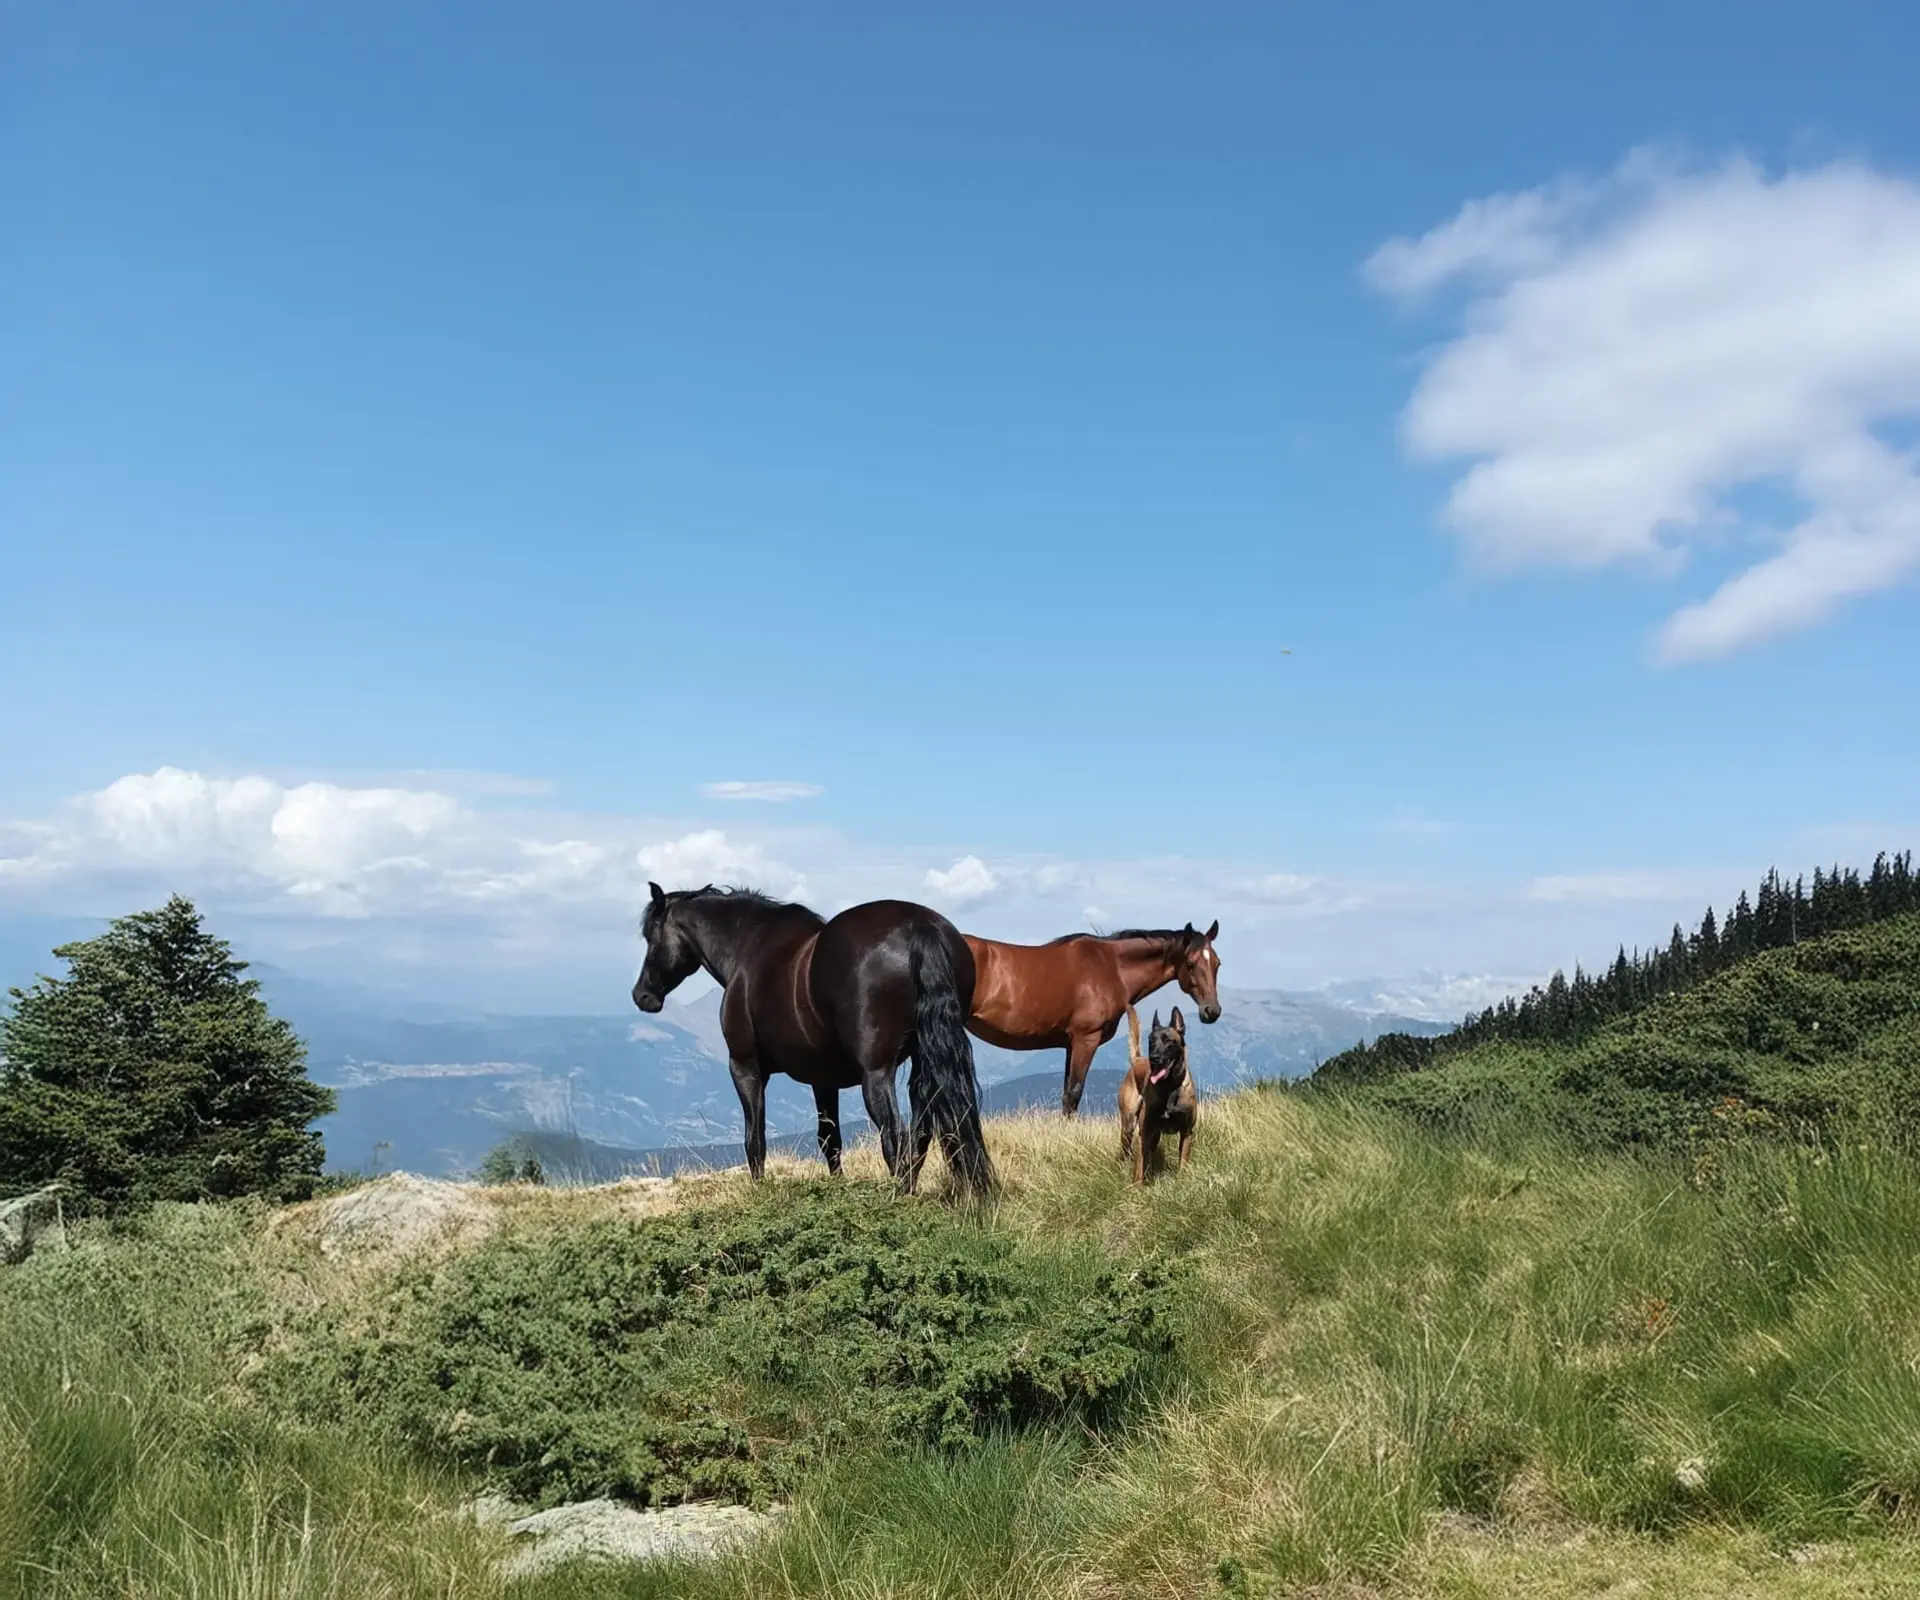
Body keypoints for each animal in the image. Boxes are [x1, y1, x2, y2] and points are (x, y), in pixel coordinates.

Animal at [631, 883, 994, 1198]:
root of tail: (920, 929)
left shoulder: (745, 1068)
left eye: (651, 936)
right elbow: (830, 1140)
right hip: (922, 1064)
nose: (642, 995)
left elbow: (755, 1141)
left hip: (876, 1073)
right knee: (921, 1132)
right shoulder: (823, 1079)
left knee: (895, 1136)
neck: (746, 948)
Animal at [964, 921, 1221, 1116]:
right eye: (1191, 963)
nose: (1212, 1010)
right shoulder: (1085, 1040)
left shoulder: (1070, 1045)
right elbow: (1073, 1095)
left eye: (1217, 963)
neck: (1111, 968)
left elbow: (1067, 1094)